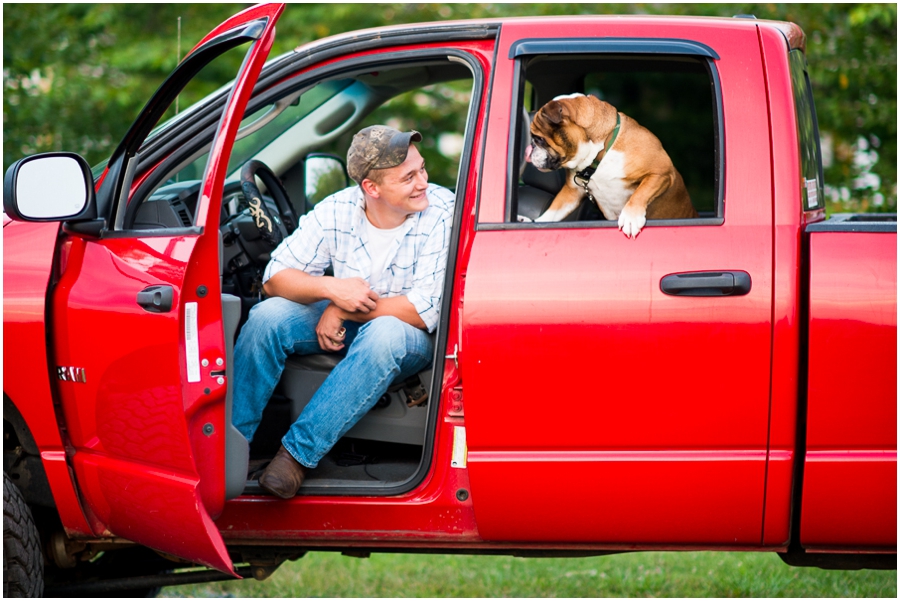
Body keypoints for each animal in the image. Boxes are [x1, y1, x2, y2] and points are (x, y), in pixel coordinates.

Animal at [524, 92, 700, 238]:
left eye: (539, 139)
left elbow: (641, 193)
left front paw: (630, 217)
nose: (529, 149)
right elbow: (552, 213)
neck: (600, 151)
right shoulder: (571, 193)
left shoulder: (661, 172)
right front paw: (535, 222)